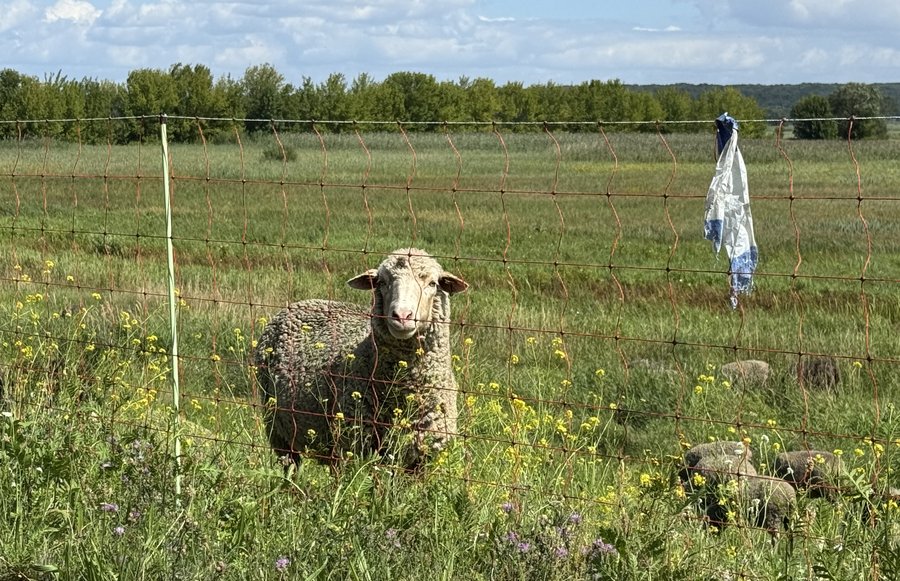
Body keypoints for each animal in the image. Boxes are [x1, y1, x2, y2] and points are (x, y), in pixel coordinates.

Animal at [253, 248, 469, 469]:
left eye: (432, 283)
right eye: (382, 282)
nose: (402, 315)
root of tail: (300, 303)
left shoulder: (424, 458)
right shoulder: (356, 448)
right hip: (278, 429)